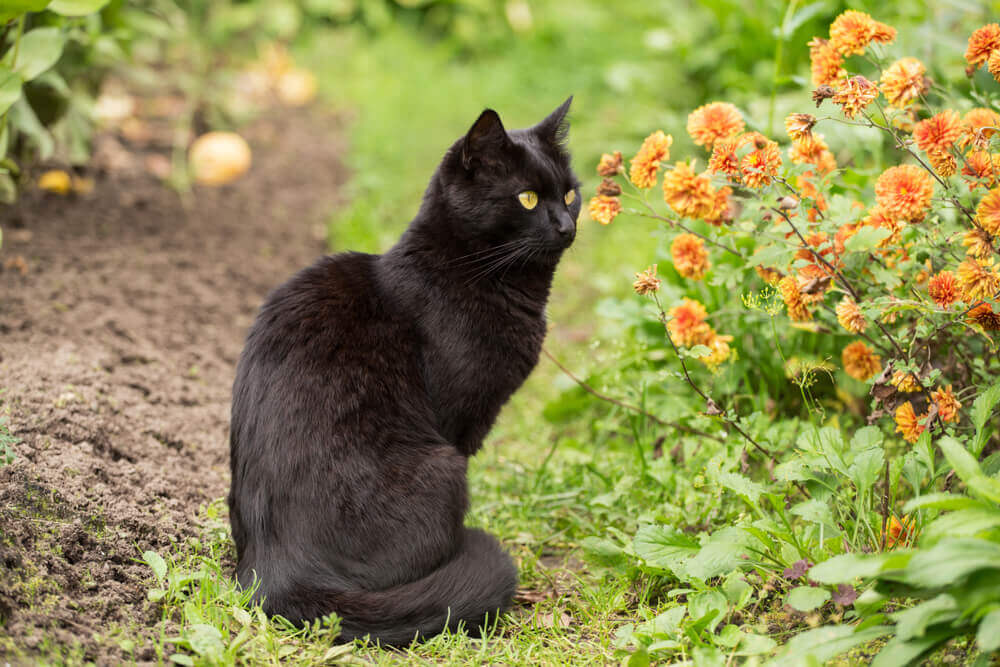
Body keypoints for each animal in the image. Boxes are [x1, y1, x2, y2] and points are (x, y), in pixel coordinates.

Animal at [227, 96, 580, 644]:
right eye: (525, 198)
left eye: (569, 194)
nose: (566, 226)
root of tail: (275, 568)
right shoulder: (458, 420)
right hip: (443, 466)